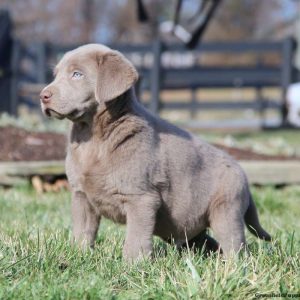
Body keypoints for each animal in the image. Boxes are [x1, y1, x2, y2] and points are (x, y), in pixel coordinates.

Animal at [39, 44, 272, 260]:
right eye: (56, 74)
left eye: (77, 74)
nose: (43, 95)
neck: (93, 138)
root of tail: (243, 174)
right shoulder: (81, 196)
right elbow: (82, 231)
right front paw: (78, 255)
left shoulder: (141, 199)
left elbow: (136, 237)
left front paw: (133, 265)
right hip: (186, 224)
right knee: (206, 242)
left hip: (226, 208)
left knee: (235, 245)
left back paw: (233, 266)